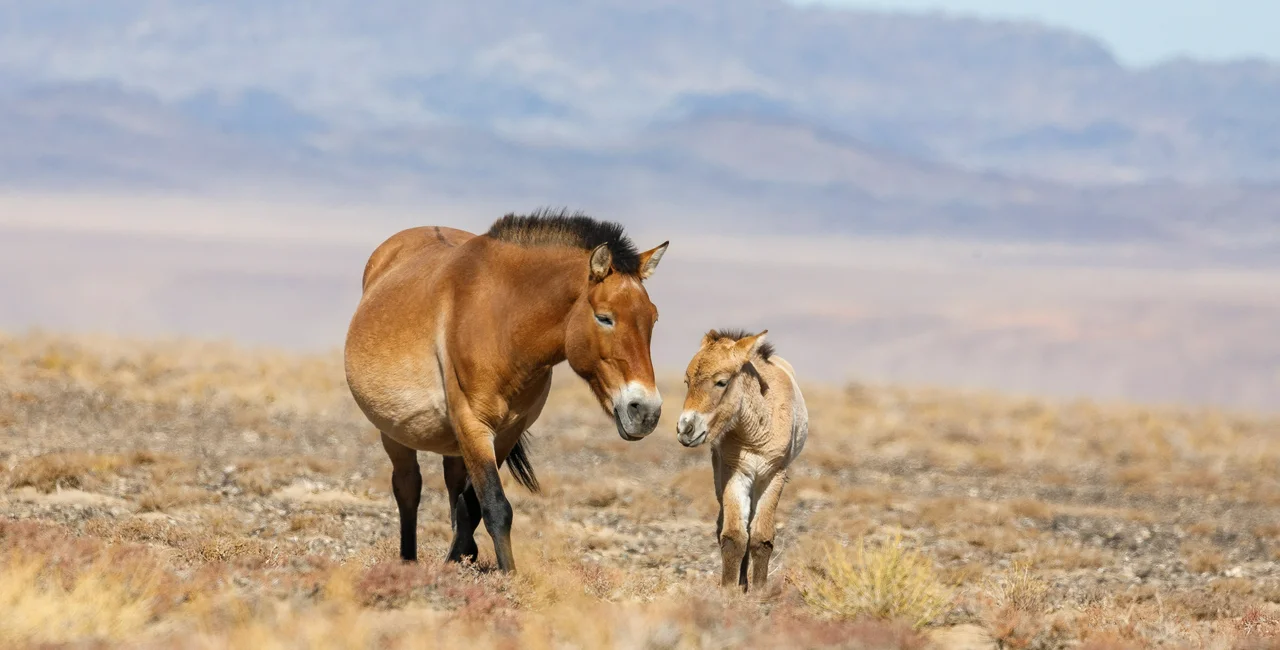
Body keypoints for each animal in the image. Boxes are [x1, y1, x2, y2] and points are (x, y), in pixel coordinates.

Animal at [348, 211, 670, 570]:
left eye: (653, 318)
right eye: (604, 318)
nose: (646, 411)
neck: (501, 320)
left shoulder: (505, 433)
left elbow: (473, 505)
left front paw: (458, 560)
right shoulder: (473, 425)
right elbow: (496, 506)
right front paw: (509, 576)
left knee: (452, 484)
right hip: (393, 432)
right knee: (408, 488)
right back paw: (408, 561)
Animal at [675, 330, 803, 588]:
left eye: (721, 382)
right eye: (687, 382)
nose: (685, 430)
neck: (755, 431)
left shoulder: (773, 476)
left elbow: (761, 537)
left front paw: (759, 591)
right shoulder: (734, 473)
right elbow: (734, 537)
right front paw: (729, 591)